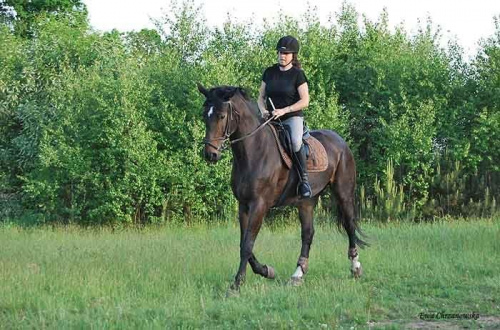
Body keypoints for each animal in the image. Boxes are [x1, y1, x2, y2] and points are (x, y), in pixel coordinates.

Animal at [198, 83, 368, 292]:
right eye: (205, 115)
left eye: (221, 116)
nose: (210, 154)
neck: (253, 152)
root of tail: (341, 141)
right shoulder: (243, 205)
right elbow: (244, 243)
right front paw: (266, 271)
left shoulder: (259, 205)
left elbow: (247, 245)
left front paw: (237, 284)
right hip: (307, 202)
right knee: (308, 234)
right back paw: (297, 275)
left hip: (343, 193)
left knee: (349, 225)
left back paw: (355, 268)